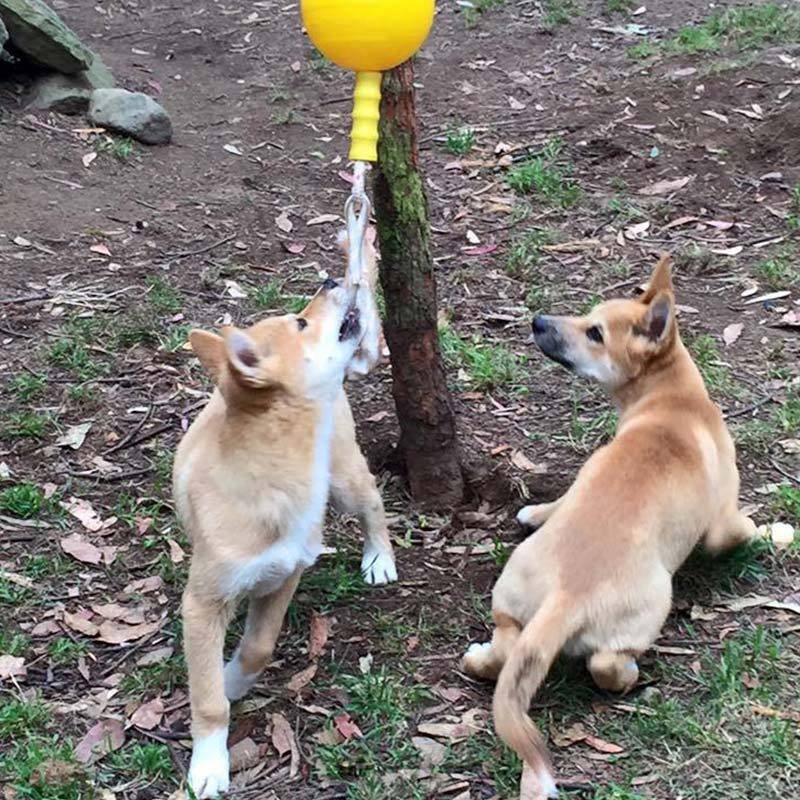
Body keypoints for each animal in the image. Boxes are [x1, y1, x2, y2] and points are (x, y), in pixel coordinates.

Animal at [177, 228, 396, 796]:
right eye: (299, 322)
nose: (331, 279)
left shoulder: (286, 574)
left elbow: (258, 645)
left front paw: (232, 677)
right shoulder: (203, 604)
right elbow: (208, 699)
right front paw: (209, 764)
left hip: (345, 480)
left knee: (373, 503)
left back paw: (379, 559)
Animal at [462, 255, 756, 792]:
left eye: (594, 330)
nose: (537, 320)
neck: (672, 400)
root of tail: (564, 596)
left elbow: (560, 498)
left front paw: (535, 511)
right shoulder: (723, 522)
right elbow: (746, 529)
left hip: (511, 597)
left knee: (506, 648)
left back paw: (478, 657)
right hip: (653, 600)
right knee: (604, 664)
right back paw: (631, 674)